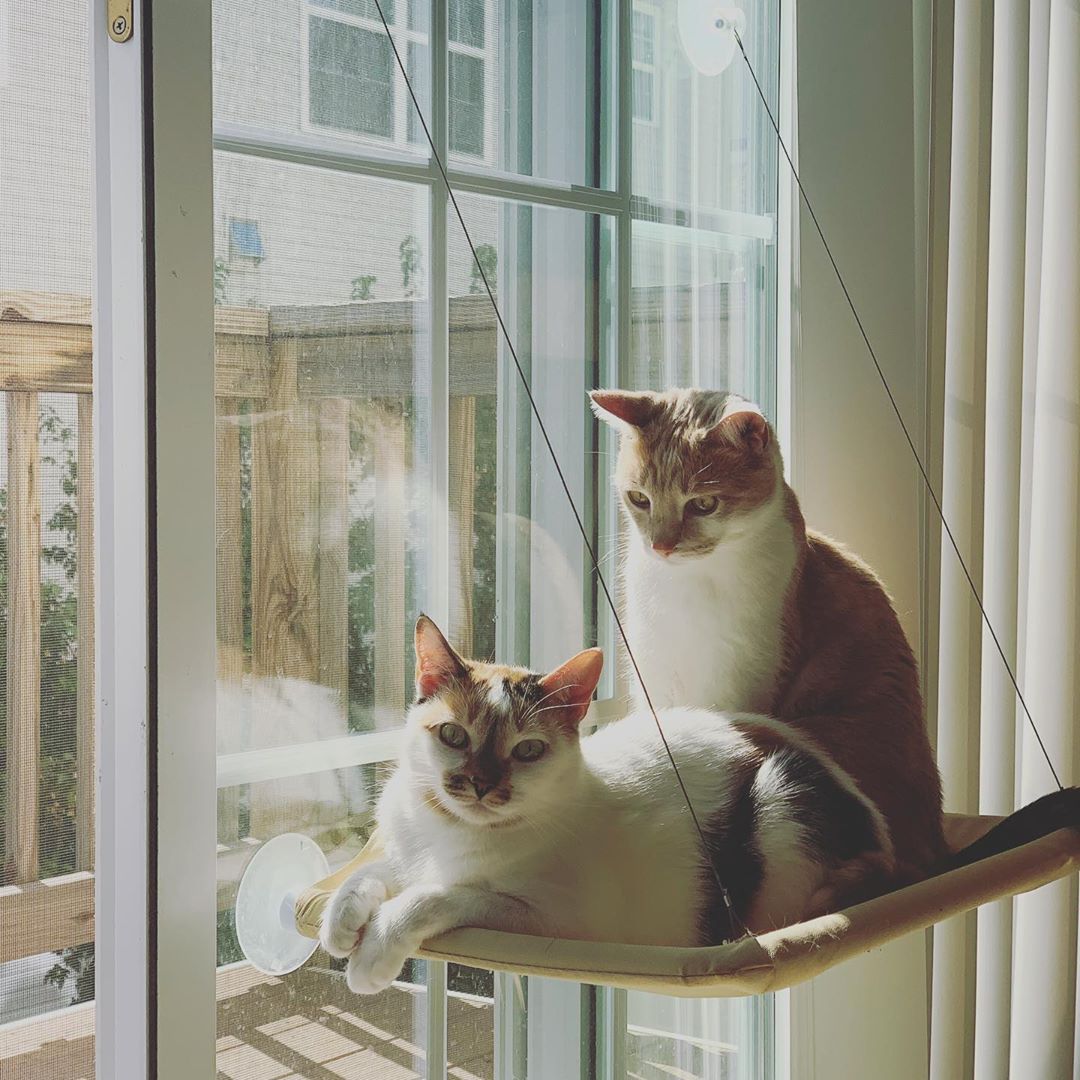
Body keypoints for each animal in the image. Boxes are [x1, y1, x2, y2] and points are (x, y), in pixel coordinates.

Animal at [321, 617, 894, 993]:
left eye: (527, 751)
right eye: (453, 735)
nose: (481, 785)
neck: (450, 833)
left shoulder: (553, 920)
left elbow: (437, 896)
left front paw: (373, 951)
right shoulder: (407, 848)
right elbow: (375, 870)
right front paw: (340, 919)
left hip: (780, 796)